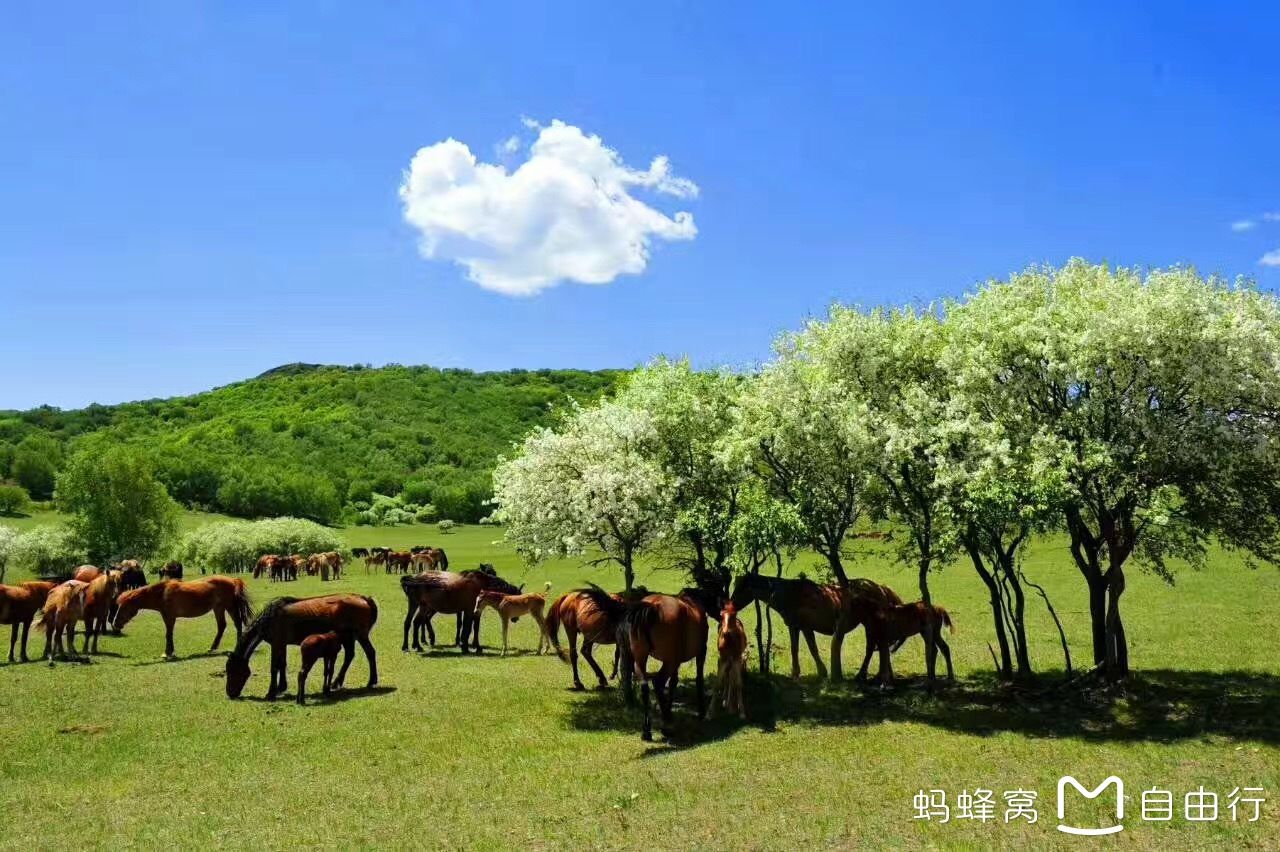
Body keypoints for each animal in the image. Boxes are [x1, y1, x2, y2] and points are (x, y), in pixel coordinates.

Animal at [115, 570, 254, 654]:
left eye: (124, 607)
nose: (115, 623)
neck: (162, 593)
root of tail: (234, 580)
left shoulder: (170, 617)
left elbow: (168, 634)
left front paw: (168, 653)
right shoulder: (167, 617)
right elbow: (169, 633)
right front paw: (169, 651)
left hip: (230, 607)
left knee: (237, 624)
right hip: (218, 608)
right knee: (222, 626)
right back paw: (212, 647)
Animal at [226, 593, 376, 701]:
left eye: (233, 671)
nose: (230, 693)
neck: (271, 618)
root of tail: (363, 598)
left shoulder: (277, 644)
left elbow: (274, 668)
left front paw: (271, 692)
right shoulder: (282, 644)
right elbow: (282, 664)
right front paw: (281, 687)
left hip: (359, 636)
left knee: (369, 653)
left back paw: (370, 681)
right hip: (349, 638)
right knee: (351, 655)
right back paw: (338, 682)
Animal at [732, 573, 901, 680]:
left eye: (742, 588)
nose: (731, 604)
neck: (791, 594)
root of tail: (879, 587)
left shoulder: (806, 628)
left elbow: (812, 649)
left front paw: (821, 672)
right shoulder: (794, 627)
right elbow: (795, 649)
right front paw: (796, 673)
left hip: (871, 623)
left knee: (874, 647)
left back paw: (866, 674)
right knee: (879, 646)